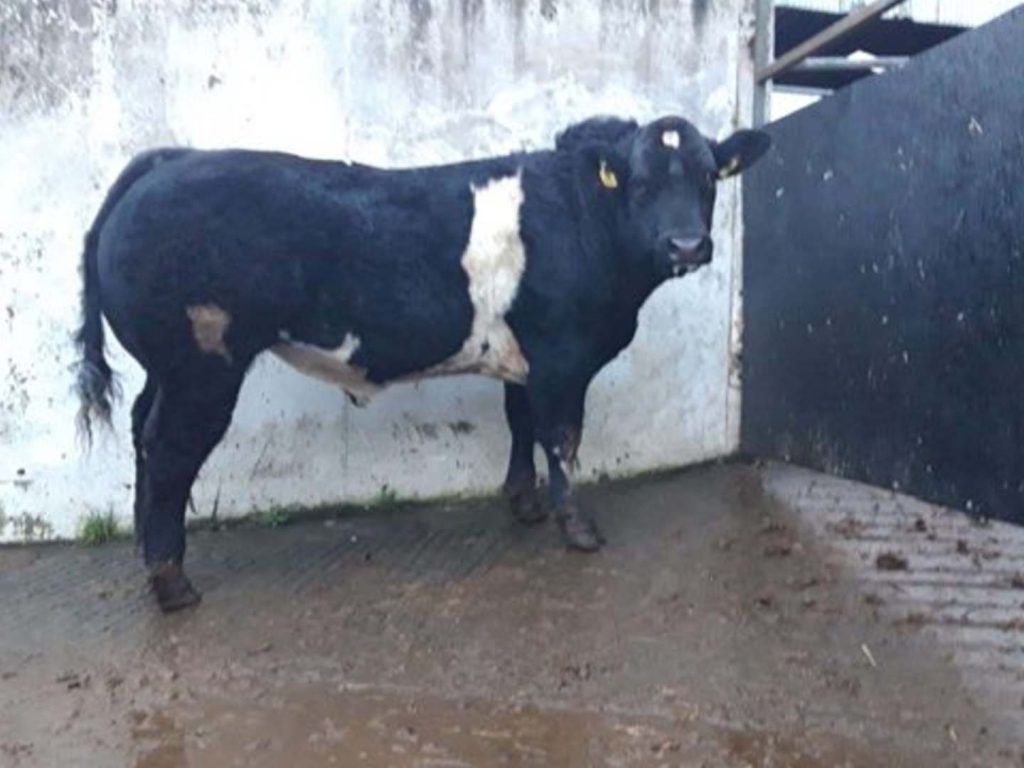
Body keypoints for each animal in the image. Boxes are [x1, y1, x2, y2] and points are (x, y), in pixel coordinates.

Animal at [74, 114, 770, 612]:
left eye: (709, 178)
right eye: (642, 182)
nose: (687, 245)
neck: (584, 221)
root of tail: (173, 157)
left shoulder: (525, 353)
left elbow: (521, 422)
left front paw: (523, 503)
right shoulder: (563, 356)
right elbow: (562, 437)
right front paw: (578, 529)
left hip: (166, 368)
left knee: (140, 430)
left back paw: (145, 542)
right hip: (202, 365)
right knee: (169, 449)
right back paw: (171, 581)